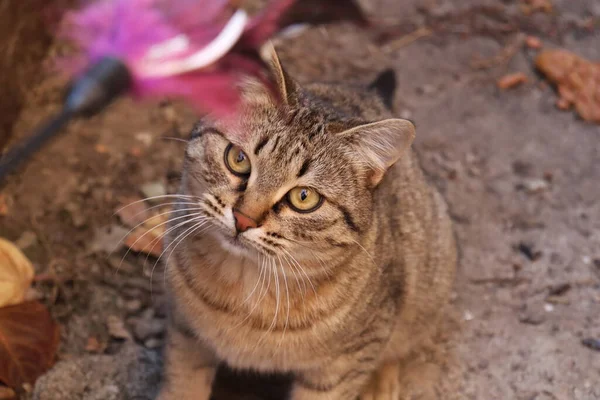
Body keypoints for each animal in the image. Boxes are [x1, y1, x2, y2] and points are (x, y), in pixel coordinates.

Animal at [157, 47, 458, 400]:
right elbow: (182, 383)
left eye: (304, 197)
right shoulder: (184, 331)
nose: (244, 219)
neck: (244, 289)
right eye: (238, 159)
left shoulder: (344, 363)